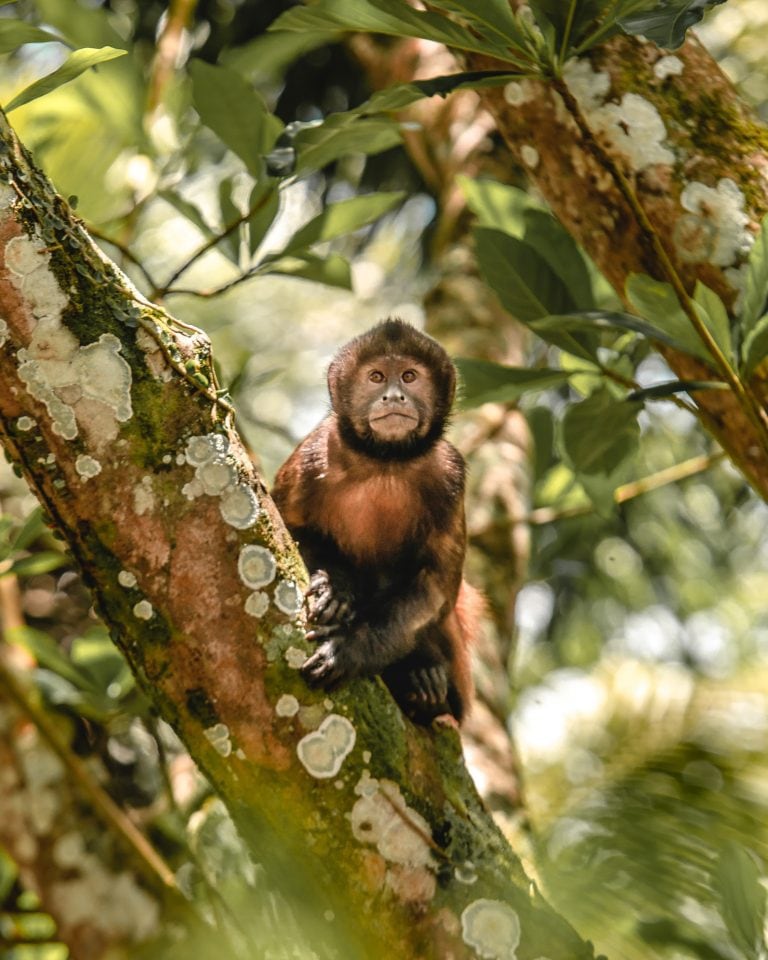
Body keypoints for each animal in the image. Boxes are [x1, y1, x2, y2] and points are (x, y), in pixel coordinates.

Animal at [272, 318, 484, 724]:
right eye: (376, 377)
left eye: (409, 376)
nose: (394, 396)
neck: (386, 461)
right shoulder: (314, 453)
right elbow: (286, 527)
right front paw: (337, 588)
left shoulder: (452, 474)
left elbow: (434, 587)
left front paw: (349, 651)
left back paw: (423, 679)